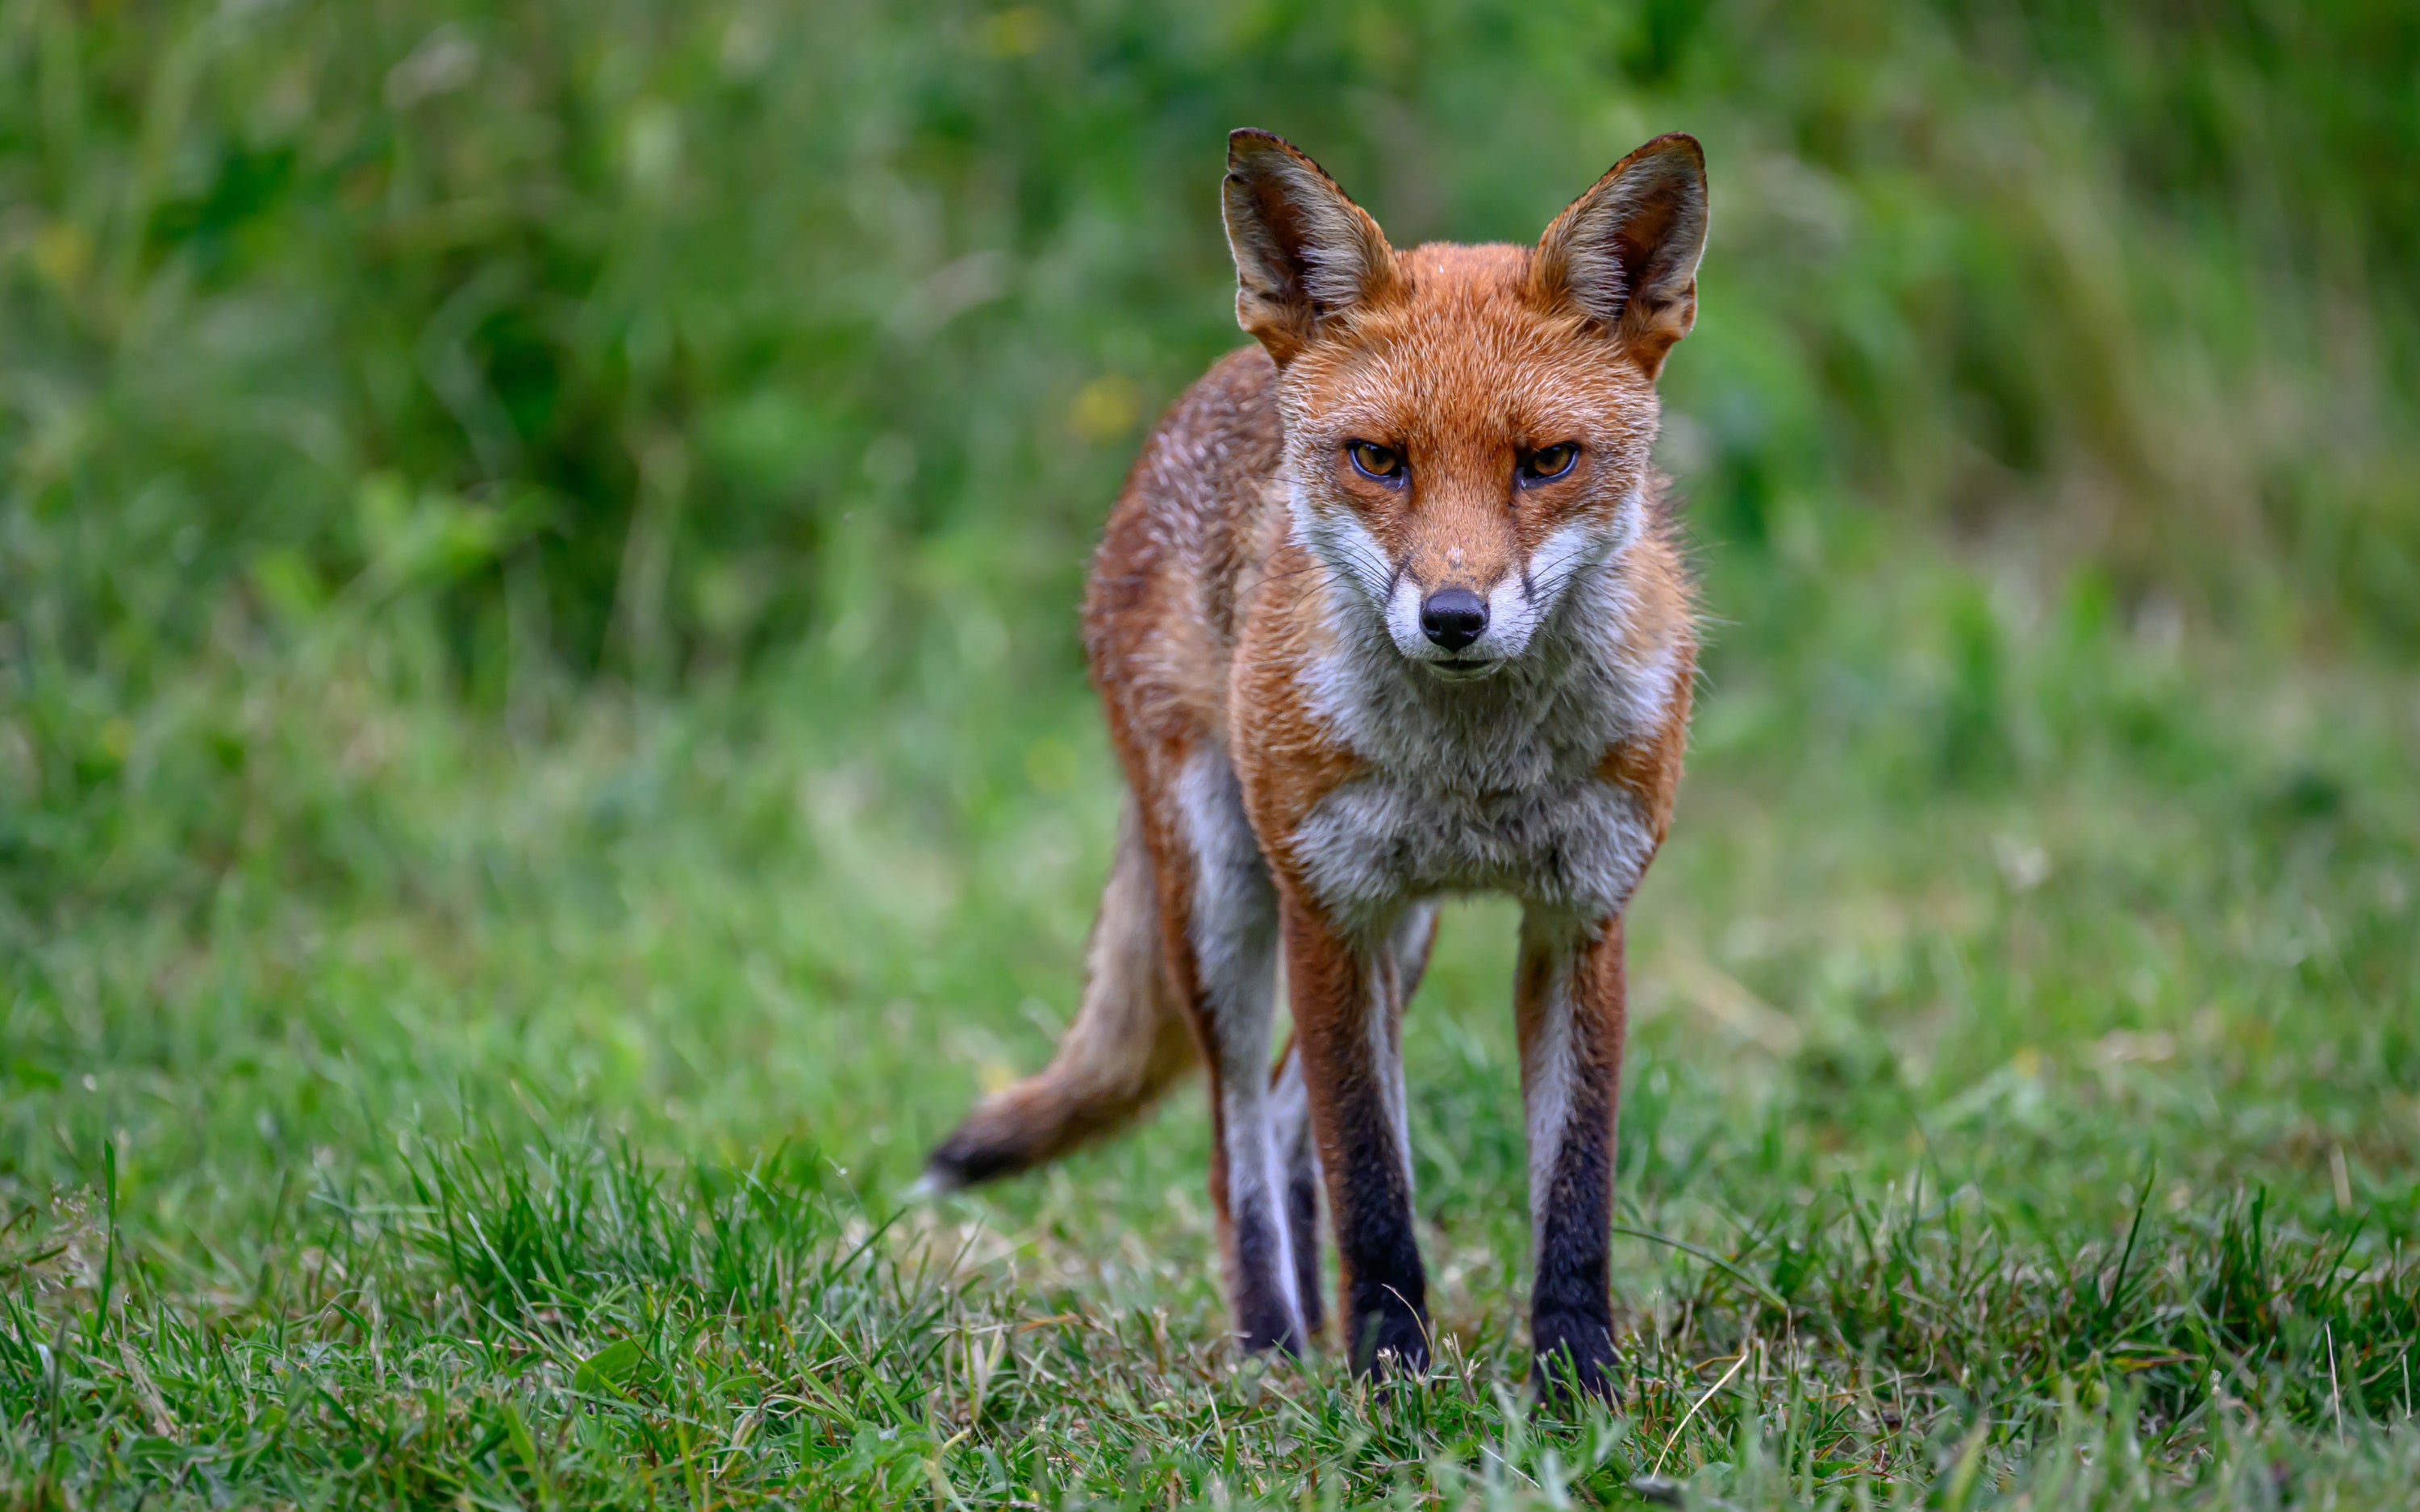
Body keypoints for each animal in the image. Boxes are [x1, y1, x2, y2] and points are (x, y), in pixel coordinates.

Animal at [920, 129, 1704, 1403]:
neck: (1474, 769)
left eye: (1548, 462)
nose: (1453, 616)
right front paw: (1390, 1382)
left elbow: (1575, 1193)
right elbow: (1374, 1187)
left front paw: (1579, 1386)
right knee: (1239, 1131)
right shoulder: (1330, 907)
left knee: (1289, 1123)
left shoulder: (1580, 915)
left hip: (1407, 937)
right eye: (1379, 459)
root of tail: (1210, 386)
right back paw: (1274, 1343)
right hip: (1228, 900)